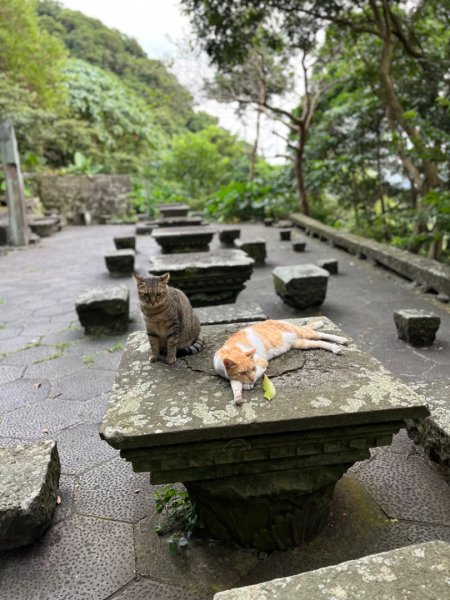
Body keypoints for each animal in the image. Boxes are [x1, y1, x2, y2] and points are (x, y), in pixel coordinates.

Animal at [214, 318, 348, 404]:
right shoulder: (232, 378)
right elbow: (235, 387)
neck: (230, 350)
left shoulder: (262, 362)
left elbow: (257, 374)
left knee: (321, 335)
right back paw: (335, 348)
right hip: (301, 343)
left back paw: (340, 340)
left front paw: (249, 384)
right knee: (319, 342)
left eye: (253, 368)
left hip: (303, 333)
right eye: (242, 373)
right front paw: (238, 398)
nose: (251, 378)